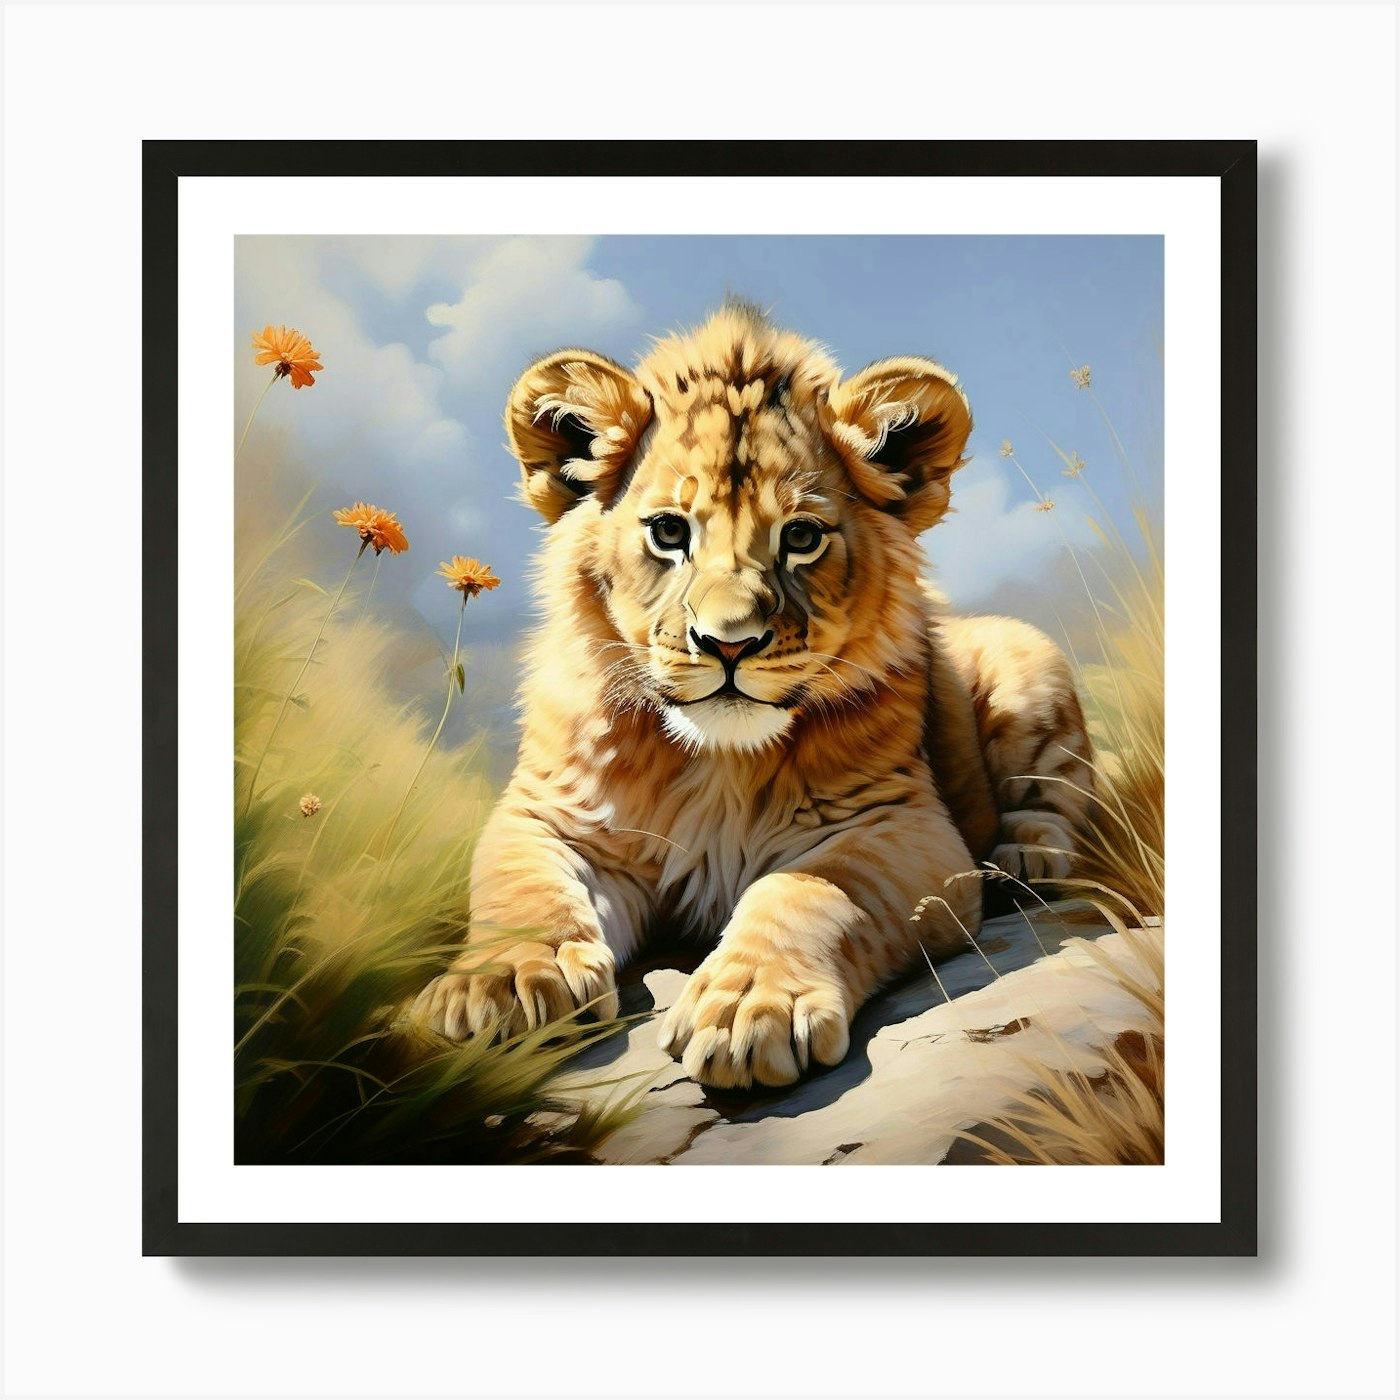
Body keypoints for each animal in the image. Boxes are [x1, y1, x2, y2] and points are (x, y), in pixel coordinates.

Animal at [412, 301, 1093, 1089]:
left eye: (801, 537)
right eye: (668, 531)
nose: (729, 643)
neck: (715, 762)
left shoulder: (903, 826)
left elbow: (808, 892)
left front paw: (749, 1008)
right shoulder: (546, 815)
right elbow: (522, 893)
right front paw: (497, 984)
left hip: (1029, 658)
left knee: (1057, 800)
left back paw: (1025, 861)